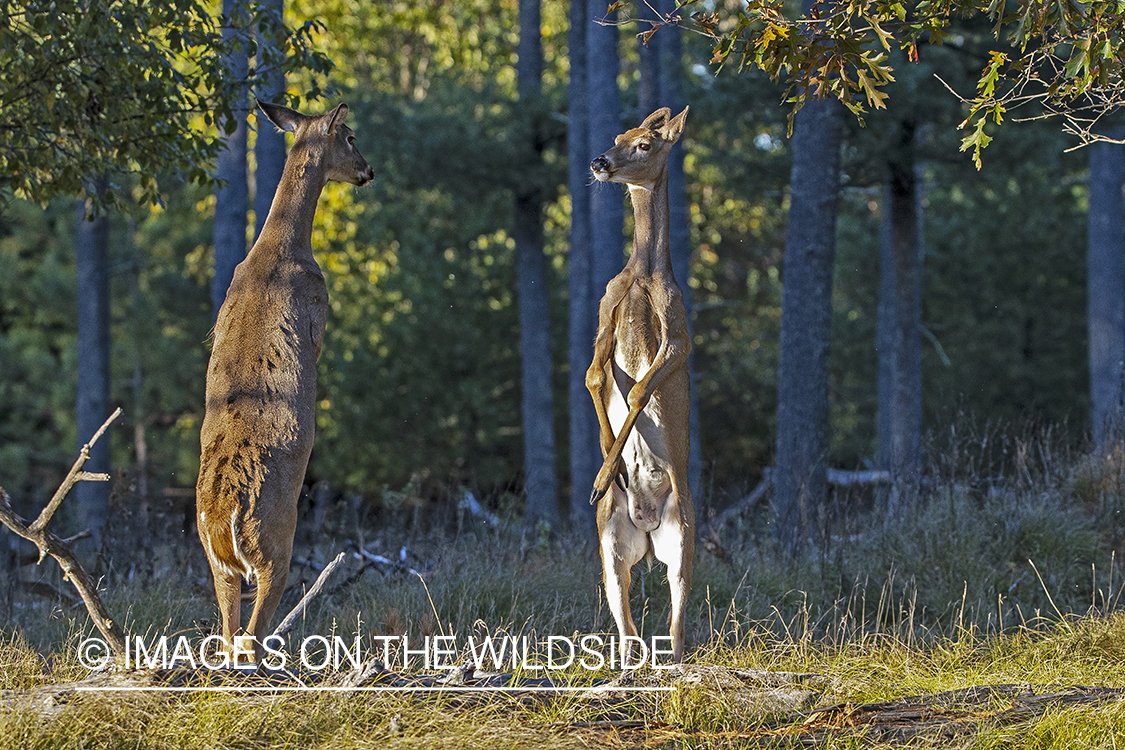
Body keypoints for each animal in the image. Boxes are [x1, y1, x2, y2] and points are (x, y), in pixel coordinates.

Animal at [191, 98, 371, 661]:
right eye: (350, 136)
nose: (368, 171)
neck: (278, 251)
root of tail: (225, 513)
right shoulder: (318, 306)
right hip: (276, 543)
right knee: (250, 636)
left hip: (217, 562)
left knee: (229, 634)